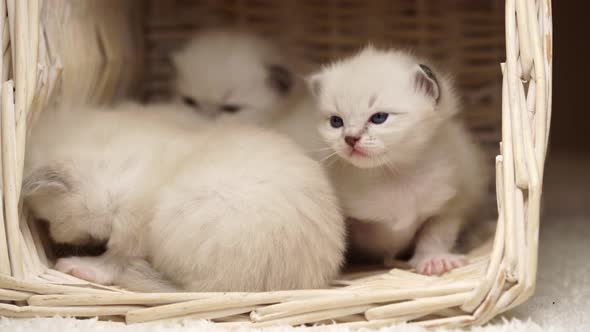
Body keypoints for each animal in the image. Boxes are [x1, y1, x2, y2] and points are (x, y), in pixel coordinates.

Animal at [308, 46, 488, 274]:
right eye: (336, 121)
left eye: (378, 118)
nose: (350, 138)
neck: (393, 174)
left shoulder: (452, 201)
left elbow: (435, 233)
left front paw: (434, 260)